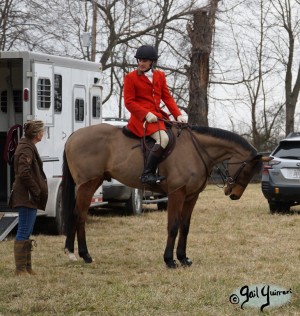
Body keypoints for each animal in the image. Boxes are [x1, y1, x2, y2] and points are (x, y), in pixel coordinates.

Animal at [61, 122, 270, 268]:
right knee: (80, 215)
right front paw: (169, 260)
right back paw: (84, 254)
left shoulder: (191, 197)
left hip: (92, 183)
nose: (233, 194)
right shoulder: (177, 194)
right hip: (87, 184)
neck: (196, 150)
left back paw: (73, 252)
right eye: (247, 169)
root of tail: (74, 135)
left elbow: (185, 227)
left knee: (77, 214)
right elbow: (173, 226)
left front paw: (183, 258)